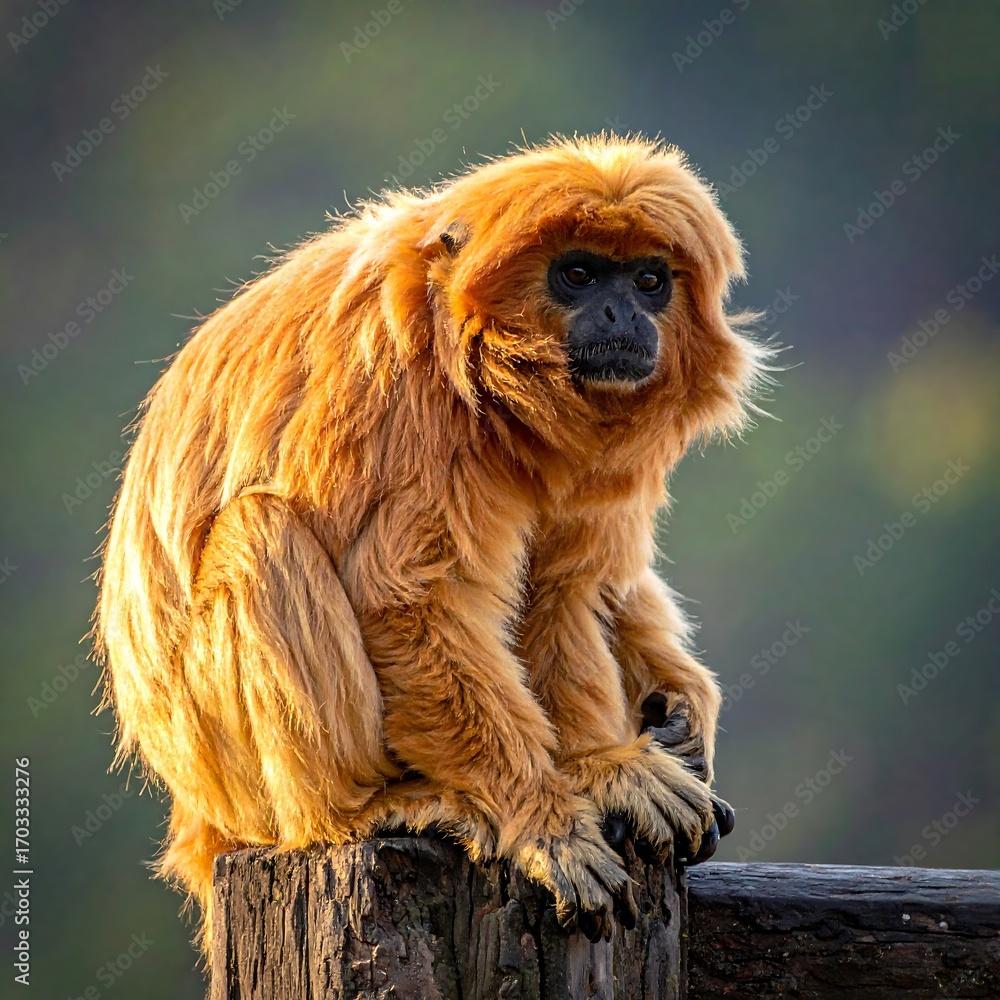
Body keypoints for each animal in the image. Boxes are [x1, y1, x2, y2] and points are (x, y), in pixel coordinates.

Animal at [94, 134, 766, 949]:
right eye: (577, 274)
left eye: (648, 280)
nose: (621, 310)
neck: (474, 358)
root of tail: (196, 815)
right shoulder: (395, 386)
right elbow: (402, 601)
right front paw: (545, 815)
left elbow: (568, 590)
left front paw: (602, 767)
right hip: (234, 778)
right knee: (261, 529)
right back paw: (359, 810)